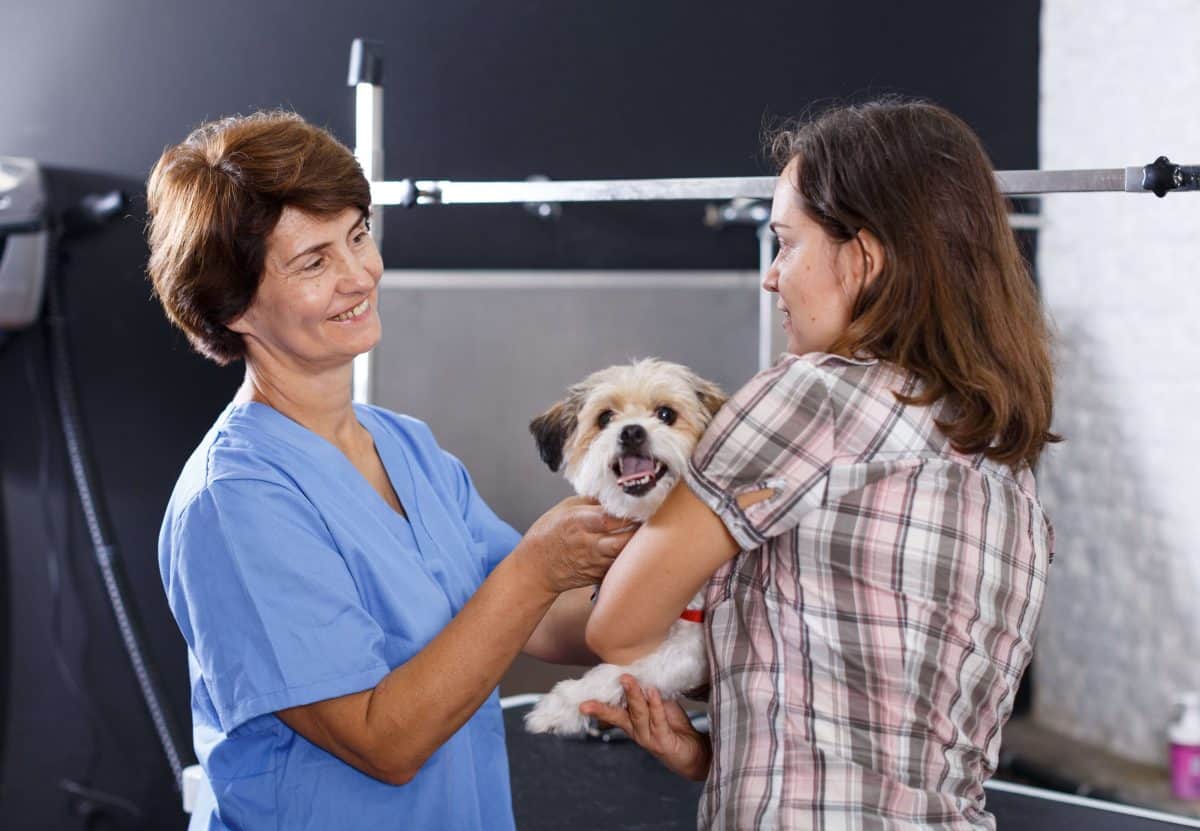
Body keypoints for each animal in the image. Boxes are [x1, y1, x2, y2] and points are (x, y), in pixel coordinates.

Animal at [523, 357, 720, 734]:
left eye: (665, 414)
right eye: (604, 418)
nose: (631, 432)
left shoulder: (695, 641)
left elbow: (629, 668)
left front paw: (562, 706)